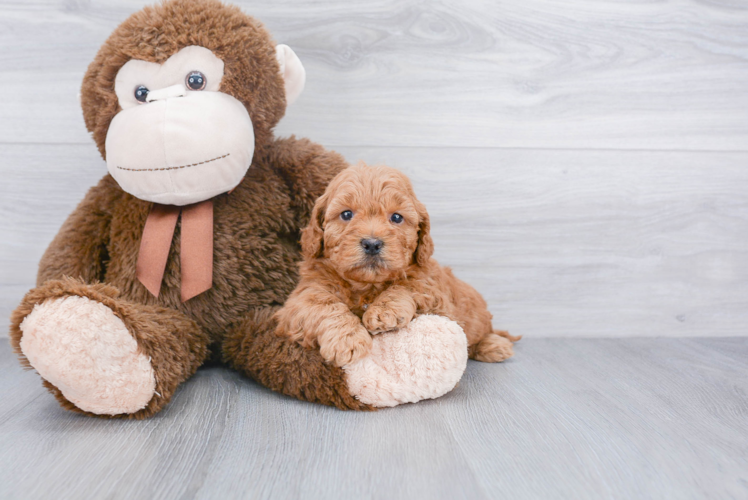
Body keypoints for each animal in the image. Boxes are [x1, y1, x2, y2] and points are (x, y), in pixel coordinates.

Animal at [274, 164, 520, 368]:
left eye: (397, 218)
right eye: (346, 214)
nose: (372, 244)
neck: (366, 286)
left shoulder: (437, 297)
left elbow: (408, 285)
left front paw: (384, 310)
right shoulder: (299, 302)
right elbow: (325, 305)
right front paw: (347, 340)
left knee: (483, 333)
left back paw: (494, 346)